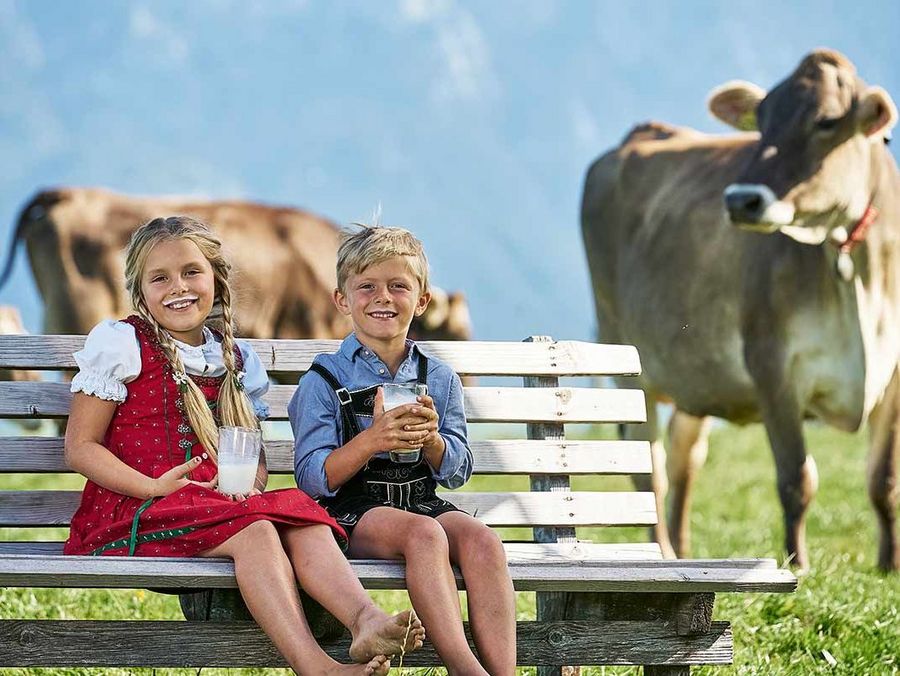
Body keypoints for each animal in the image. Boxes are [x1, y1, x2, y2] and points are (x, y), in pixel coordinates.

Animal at [580, 50, 896, 572]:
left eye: (827, 121)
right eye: (761, 120)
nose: (741, 199)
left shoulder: (895, 381)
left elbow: (884, 481)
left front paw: (890, 566)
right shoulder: (772, 365)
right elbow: (796, 479)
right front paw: (798, 565)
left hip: (696, 370)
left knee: (684, 459)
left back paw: (683, 553)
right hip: (626, 360)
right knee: (650, 473)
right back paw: (660, 554)